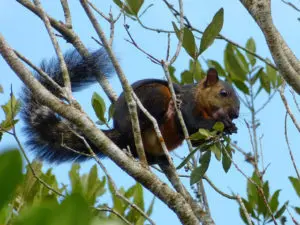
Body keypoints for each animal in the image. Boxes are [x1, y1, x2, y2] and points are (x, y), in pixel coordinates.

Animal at [21, 49, 240, 164]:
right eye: (223, 93)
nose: (236, 114)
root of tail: (121, 132)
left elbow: (195, 141)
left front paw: (229, 126)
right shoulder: (187, 104)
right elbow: (192, 123)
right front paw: (225, 124)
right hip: (154, 97)